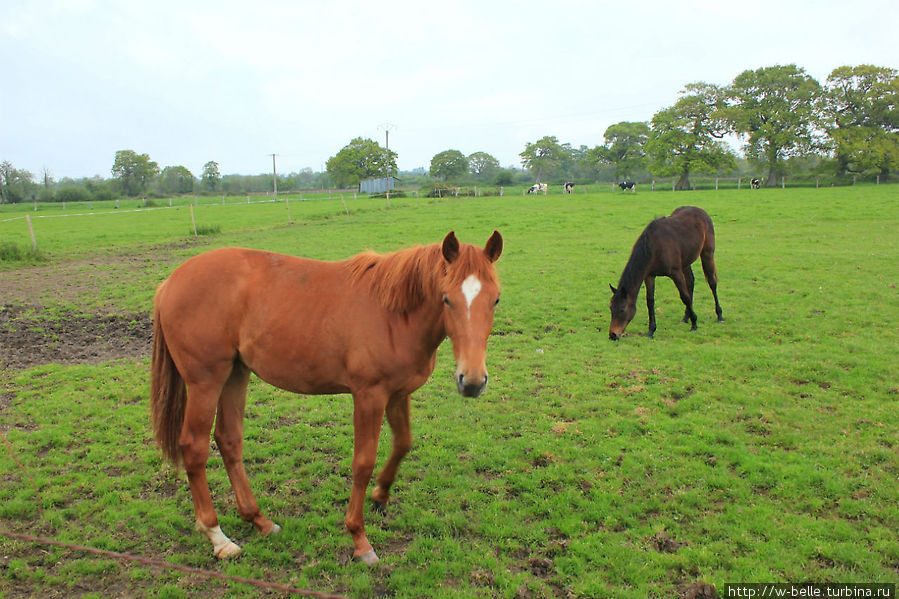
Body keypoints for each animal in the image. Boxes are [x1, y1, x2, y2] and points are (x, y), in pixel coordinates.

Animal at [153, 230, 506, 564]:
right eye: (447, 299)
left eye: (496, 300)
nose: (472, 382)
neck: (393, 314)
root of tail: (171, 281)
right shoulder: (369, 396)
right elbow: (362, 463)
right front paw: (359, 539)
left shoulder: (398, 394)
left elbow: (403, 443)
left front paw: (381, 494)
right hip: (206, 381)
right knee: (194, 448)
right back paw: (218, 538)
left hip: (235, 374)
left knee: (229, 440)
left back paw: (259, 520)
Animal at [608, 206, 720, 340]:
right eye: (611, 308)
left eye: (622, 310)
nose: (613, 335)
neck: (654, 247)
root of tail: (701, 211)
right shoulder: (649, 275)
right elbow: (650, 301)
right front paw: (651, 331)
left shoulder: (676, 273)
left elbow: (685, 297)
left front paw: (694, 324)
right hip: (686, 262)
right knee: (691, 282)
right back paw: (685, 317)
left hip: (707, 253)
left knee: (712, 282)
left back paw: (719, 315)